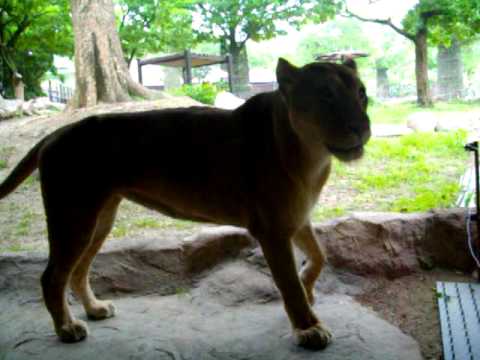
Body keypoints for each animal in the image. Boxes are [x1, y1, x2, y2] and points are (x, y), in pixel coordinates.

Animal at [0, 57, 372, 350]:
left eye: (362, 93)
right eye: (325, 96)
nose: (361, 127)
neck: (312, 155)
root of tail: (54, 133)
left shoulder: (297, 218)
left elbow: (320, 256)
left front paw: (309, 285)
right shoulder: (272, 230)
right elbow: (289, 285)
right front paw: (309, 328)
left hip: (98, 219)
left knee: (77, 271)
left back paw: (94, 309)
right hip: (73, 218)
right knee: (52, 277)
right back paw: (66, 328)